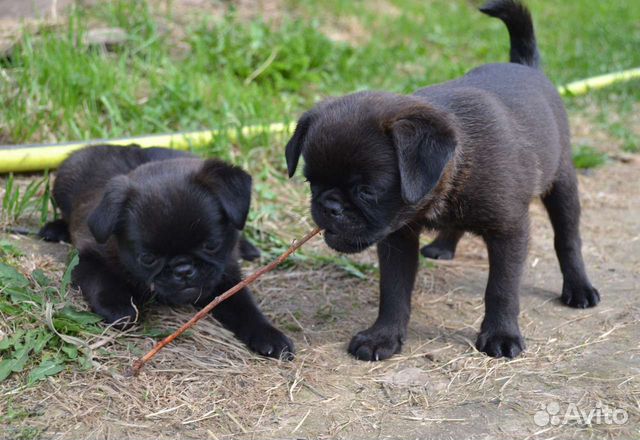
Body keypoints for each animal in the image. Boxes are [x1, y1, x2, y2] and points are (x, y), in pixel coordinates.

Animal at [41, 146, 296, 360]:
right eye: (148, 259)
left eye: (211, 245)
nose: (183, 269)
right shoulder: (86, 256)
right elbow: (100, 280)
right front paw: (119, 305)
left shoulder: (226, 275)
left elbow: (244, 306)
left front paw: (267, 333)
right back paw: (54, 228)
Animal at [284, 0, 600, 360]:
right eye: (311, 183)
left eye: (367, 191)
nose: (329, 205)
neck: (454, 167)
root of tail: (526, 67)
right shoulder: (398, 237)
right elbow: (393, 291)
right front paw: (383, 336)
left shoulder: (509, 231)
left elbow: (502, 288)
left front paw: (501, 334)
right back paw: (443, 245)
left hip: (562, 183)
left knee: (568, 238)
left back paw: (578, 287)